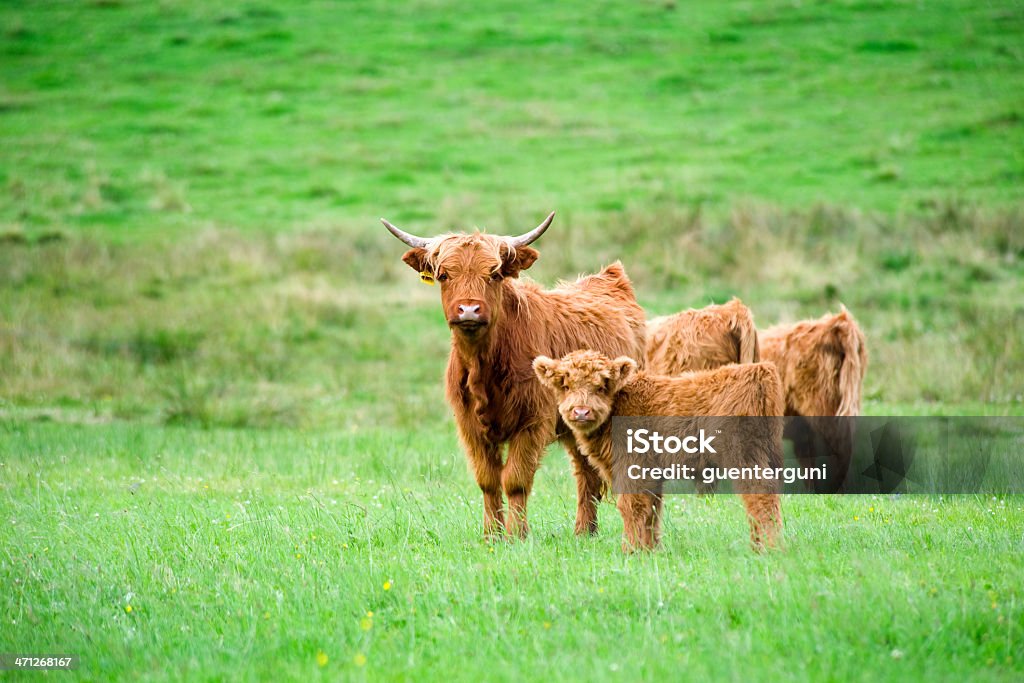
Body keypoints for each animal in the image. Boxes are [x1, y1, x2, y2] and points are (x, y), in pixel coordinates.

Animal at [380, 214, 643, 540]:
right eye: (443, 275)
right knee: (586, 473)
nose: (469, 309)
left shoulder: (532, 421)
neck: (484, 367)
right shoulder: (469, 426)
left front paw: (517, 534)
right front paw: (491, 535)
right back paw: (585, 532)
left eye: (493, 274)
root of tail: (608, 278)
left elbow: (515, 480)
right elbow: (488, 480)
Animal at [532, 350, 778, 552]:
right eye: (565, 385)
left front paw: (631, 550)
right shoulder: (651, 472)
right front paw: (650, 549)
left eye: (601, 386)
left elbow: (631, 505)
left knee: (760, 495)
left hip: (743, 455)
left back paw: (769, 548)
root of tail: (757, 370)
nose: (581, 412)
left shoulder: (633, 467)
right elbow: (651, 509)